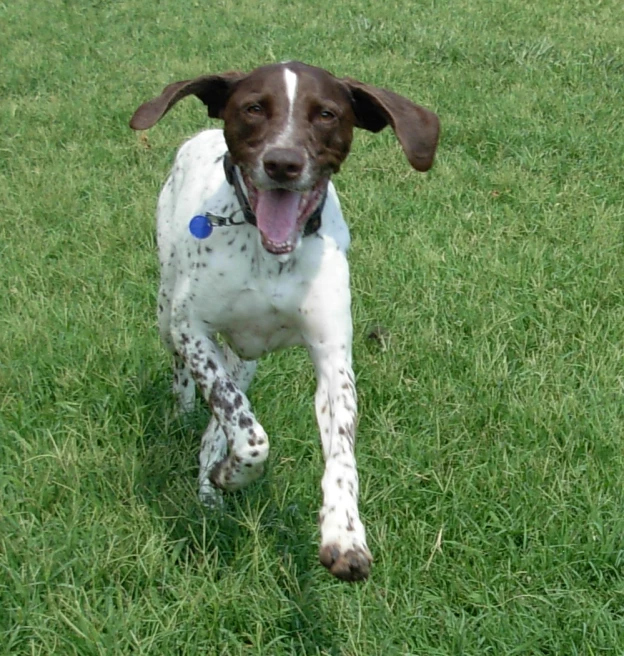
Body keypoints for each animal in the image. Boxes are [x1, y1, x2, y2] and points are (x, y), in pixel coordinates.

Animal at [130, 61, 438, 580]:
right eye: (254, 108)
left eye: (326, 114)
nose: (283, 162)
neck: (267, 252)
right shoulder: (193, 331)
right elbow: (249, 433)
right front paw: (233, 472)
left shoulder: (333, 361)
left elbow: (341, 456)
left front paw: (344, 534)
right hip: (167, 310)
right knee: (190, 383)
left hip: (244, 360)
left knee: (219, 424)